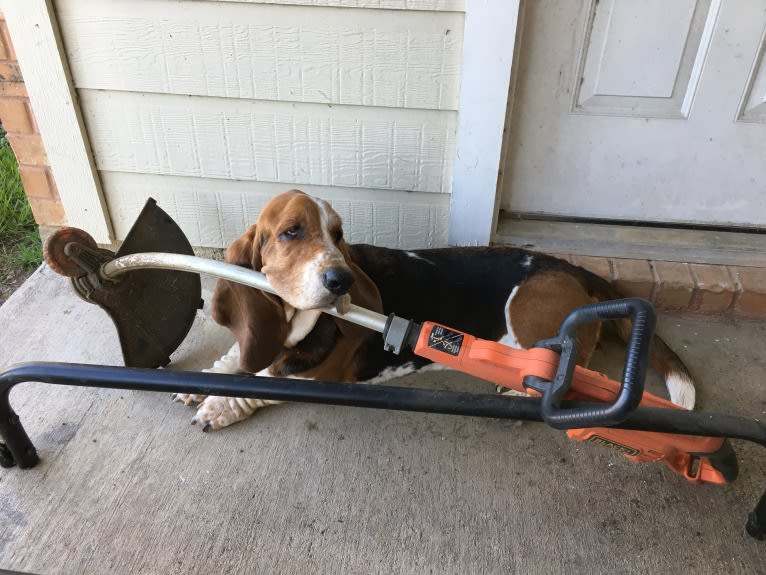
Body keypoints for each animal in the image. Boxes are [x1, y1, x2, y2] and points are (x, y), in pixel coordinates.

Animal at [172, 191, 696, 430]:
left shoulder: (316, 377)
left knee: (569, 373)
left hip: (529, 317)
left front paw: (218, 405)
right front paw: (203, 383)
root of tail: (576, 269)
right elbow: (237, 361)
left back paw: (520, 392)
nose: (341, 281)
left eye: (338, 235)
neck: (295, 319)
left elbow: (260, 382)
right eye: (291, 232)